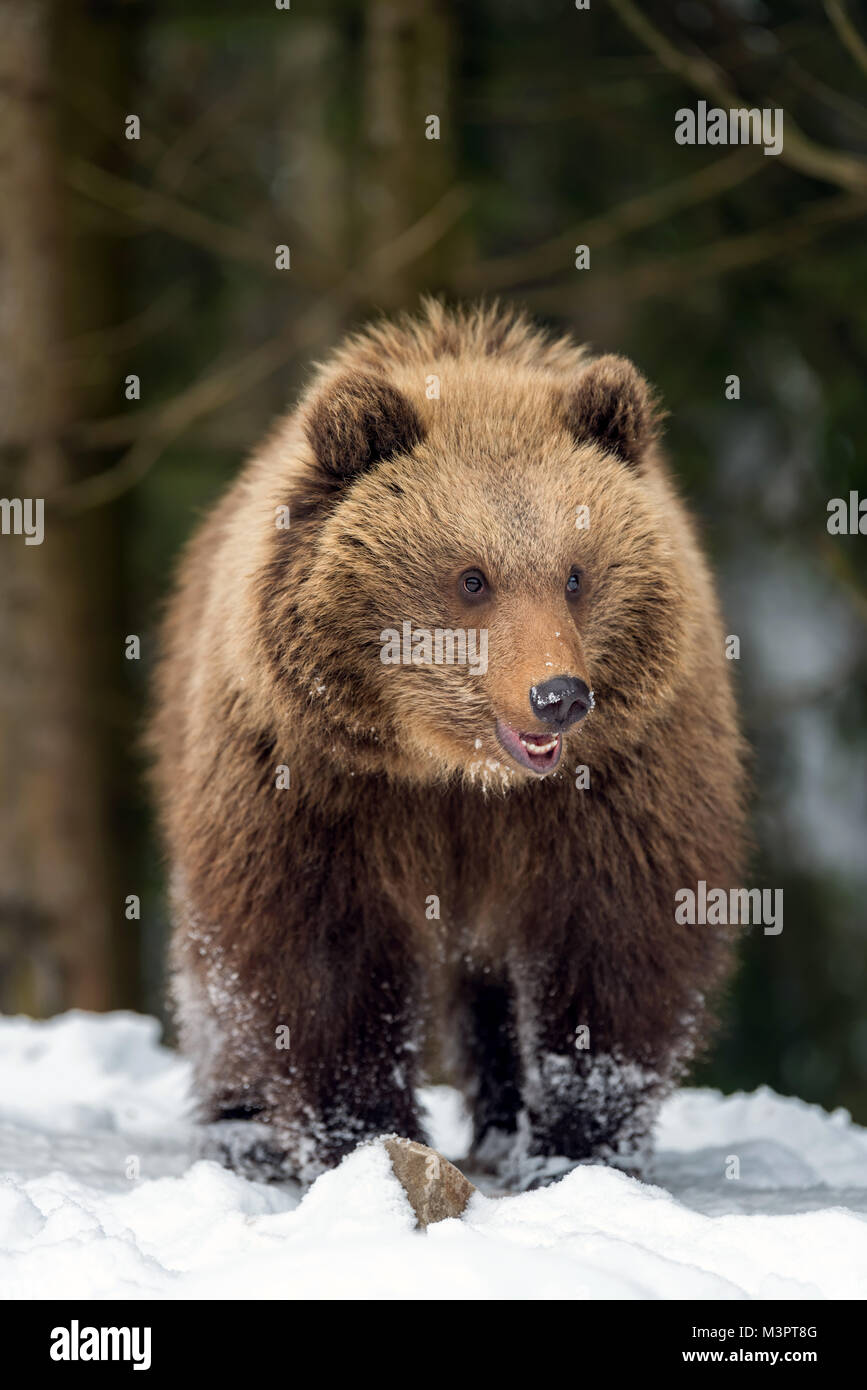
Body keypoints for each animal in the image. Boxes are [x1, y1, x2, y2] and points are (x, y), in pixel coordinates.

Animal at [150, 299, 746, 1185]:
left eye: (575, 573)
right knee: (213, 977)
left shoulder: (619, 781)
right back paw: (240, 1129)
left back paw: (501, 1126)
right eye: (471, 578)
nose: (557, 696)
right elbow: (320, 959)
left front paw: (574, 1148)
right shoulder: (318, 784)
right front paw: (365, 1138)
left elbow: (612, 944)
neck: (456, 773)